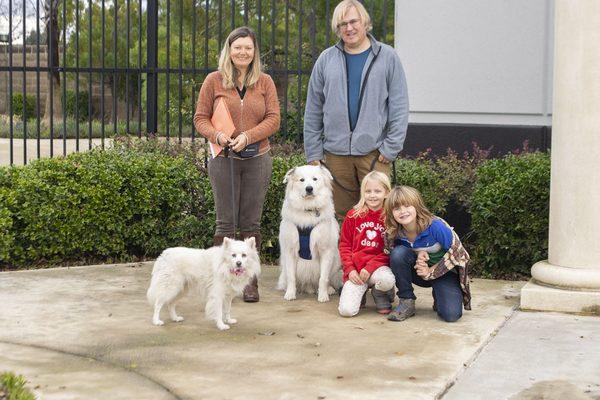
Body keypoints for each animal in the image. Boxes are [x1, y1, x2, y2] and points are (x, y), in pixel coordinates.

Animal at [276, 164, 342, 302]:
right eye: (301, 180)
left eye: (315, 179)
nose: (309, 188)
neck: (308, 209)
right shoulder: (289, 251)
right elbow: (291, 277)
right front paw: (290, 294)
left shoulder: (326, 250)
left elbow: (323, 278)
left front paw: (323, 295)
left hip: (335, 260)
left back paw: (328, 289)